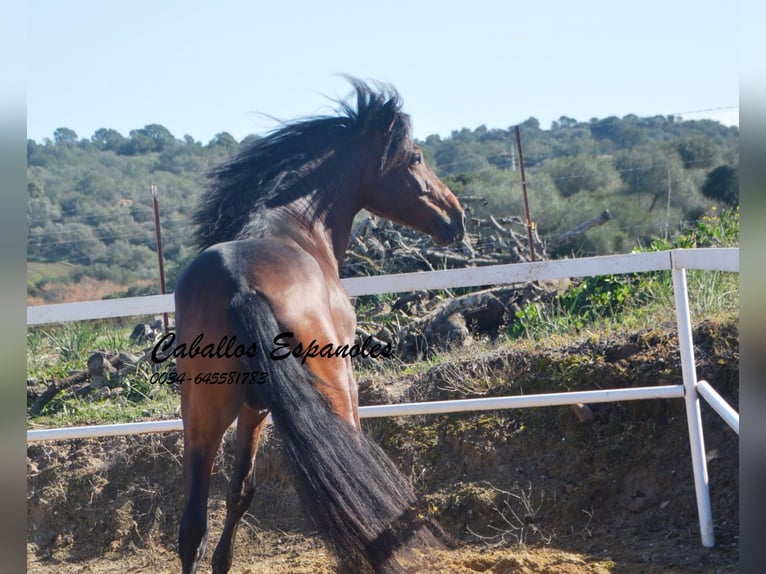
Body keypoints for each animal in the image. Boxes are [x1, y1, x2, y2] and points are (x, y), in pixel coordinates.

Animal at [172, 81, 464, 574]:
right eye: (415, 157)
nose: (456, 218)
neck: (294, 225)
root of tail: (240, 284)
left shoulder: (252, 408)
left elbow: (239, 491)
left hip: (202, 417)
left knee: (192, 524)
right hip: (332, 395)